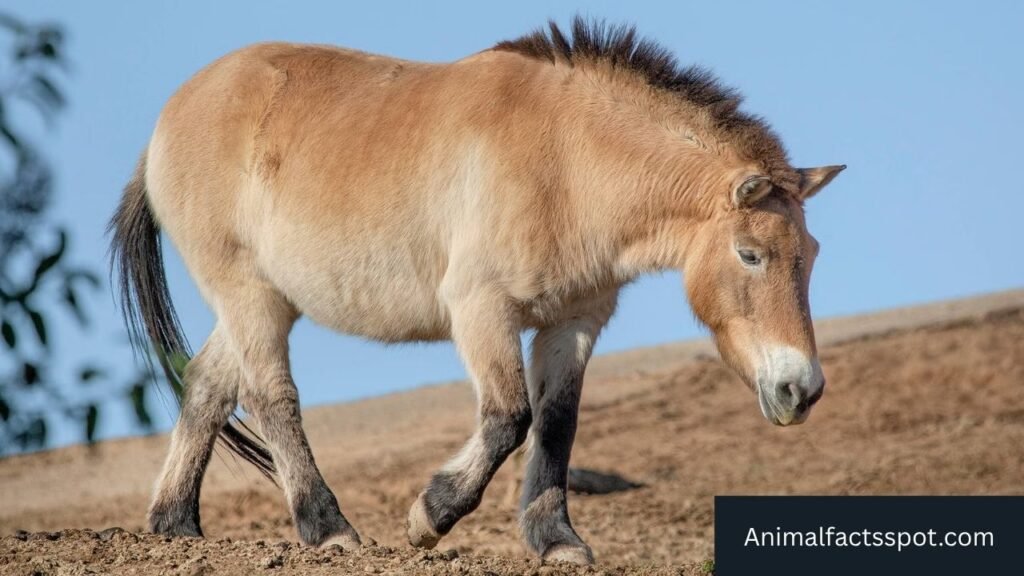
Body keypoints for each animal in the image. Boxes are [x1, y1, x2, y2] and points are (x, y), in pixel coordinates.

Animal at [110, 18, 843, 565]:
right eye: (750, 254)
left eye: (809, 256)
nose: (799, 390)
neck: (567, 159)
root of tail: (167, 123)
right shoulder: (482, 311)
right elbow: (508, 417)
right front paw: (428, 517)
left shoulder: (573, 322)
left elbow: (556, 421)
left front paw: (556, 540)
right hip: (249, 296)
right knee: (270, 398)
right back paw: (328, 528)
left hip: (264, 301)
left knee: (207, 385)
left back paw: (176, 525)